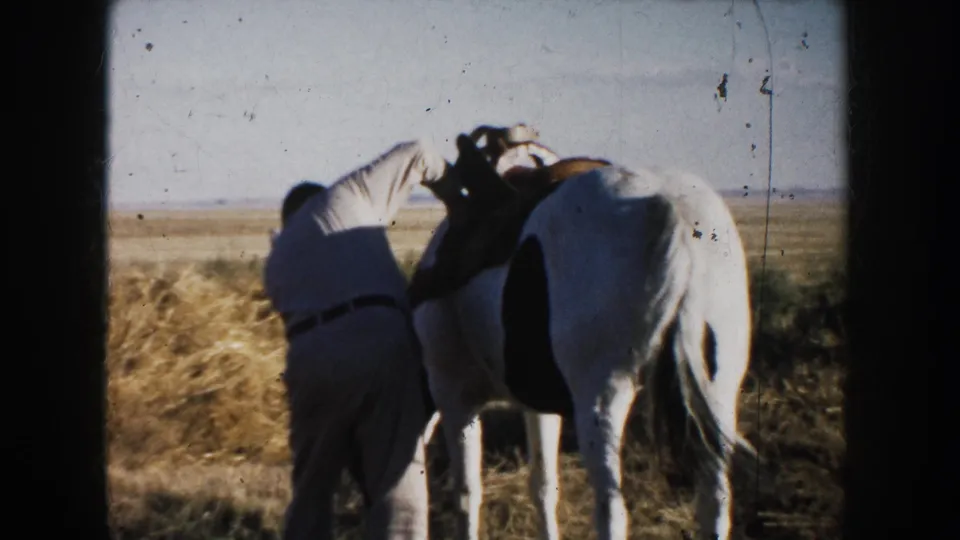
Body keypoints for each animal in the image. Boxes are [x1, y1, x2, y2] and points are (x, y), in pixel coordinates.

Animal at [411, 133, 757, 540]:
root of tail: (680, 213)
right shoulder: (537, 403)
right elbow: (544, 486)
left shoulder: (455, 396)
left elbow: (467, 493)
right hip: (718, 395)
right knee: (715, 502)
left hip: (602, 400)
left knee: (612, 510)